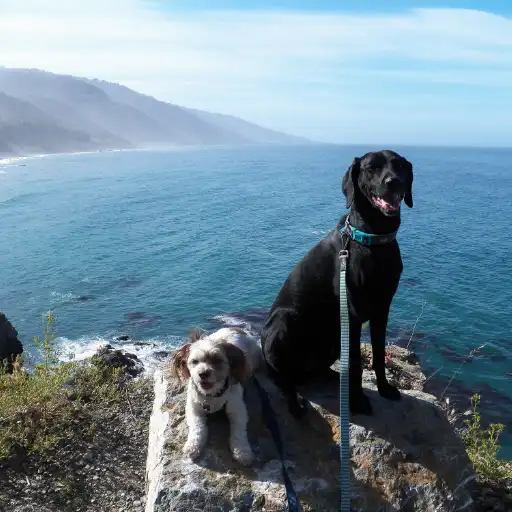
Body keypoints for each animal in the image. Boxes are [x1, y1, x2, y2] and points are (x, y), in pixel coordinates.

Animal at [170, 326, 262, 466]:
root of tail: (238, 329)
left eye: (217, 360)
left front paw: (242, 451)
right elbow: (197, 427)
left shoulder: (238, 409)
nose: (203, 373)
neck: (212, 395)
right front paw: (193, 445)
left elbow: (239, 431)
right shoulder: (194, 408)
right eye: (195, 361)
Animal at [262, 150, 414, 418]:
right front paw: (358, 402)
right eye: (372, 167)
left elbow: (377, 355)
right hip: (283, 323)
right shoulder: (352, 315)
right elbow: (355, 363)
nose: (393, 182)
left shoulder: (382, 309)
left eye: (399, 166)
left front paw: (384, 389)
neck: (372, 239)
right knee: (284, 379)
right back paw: (295, 402)